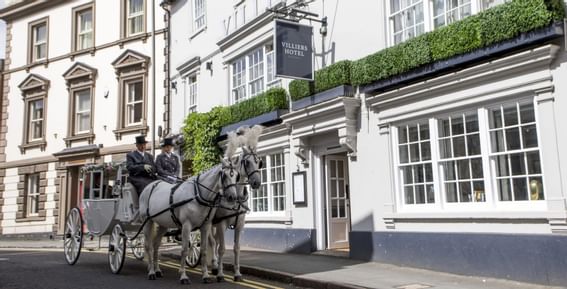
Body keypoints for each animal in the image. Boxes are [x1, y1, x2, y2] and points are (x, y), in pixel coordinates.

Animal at [211, 125, 264, 280]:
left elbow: (236, 248)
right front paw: (221, 274)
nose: (256, 182)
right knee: (212, 242)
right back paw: (214, 266)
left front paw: (237, 273)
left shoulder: (239, 224)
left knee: (215, 241)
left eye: (259, 162)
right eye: (247, 162)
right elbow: (222, 249)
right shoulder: (221, 223)